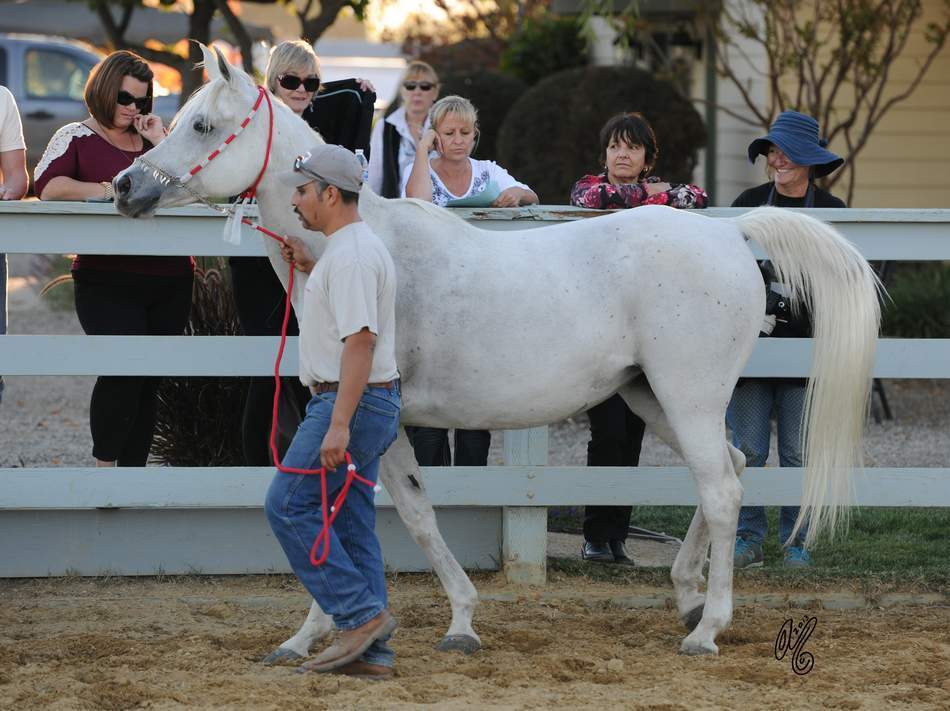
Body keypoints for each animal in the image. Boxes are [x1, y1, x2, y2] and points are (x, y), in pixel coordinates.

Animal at [113, 45, 881, 658]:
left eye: (202, 125)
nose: (126, 186)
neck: (359, 246)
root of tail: (728, 233)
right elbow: (395, 513)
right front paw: (363, 630)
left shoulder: (368, 419)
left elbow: (389, 517)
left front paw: (371, 629)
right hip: (650, 395)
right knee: (735, 465)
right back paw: (688, 596)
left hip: (687, 397)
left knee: (722, 489)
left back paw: (708, 628)